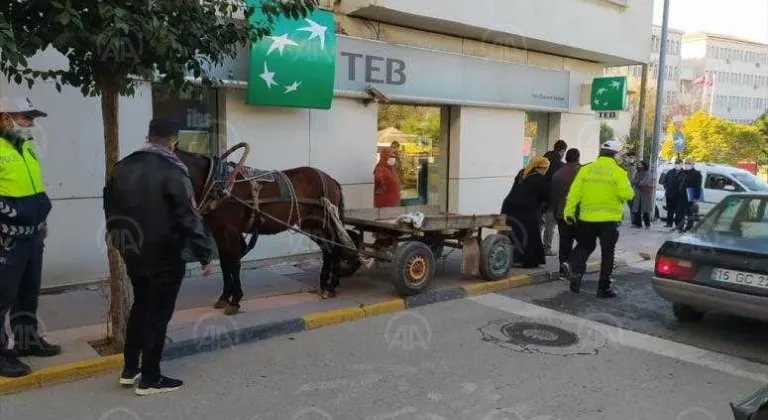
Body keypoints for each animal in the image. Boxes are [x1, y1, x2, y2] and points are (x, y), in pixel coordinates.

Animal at [176, 148, 356, 316]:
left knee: (334, 248)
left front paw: (235, 300)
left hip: (325, 223)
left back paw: (331, 287)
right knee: (327, 250)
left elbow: (234, 264)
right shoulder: (219, 232)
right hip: (311, 225)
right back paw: (324, 284)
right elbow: (225, 263)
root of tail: (331, 180)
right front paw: (224, 297)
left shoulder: (231, 231)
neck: (217, 184)